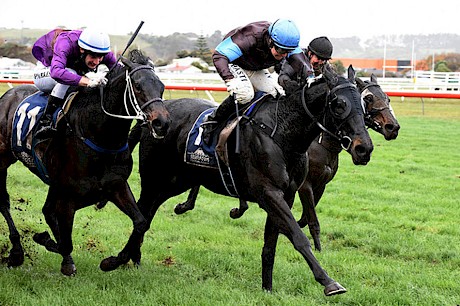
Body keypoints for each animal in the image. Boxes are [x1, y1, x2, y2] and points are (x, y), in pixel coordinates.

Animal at [0, 49, 170, 274]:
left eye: (161, 86)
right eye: (138, 86)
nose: (162, 123)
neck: (100, 136)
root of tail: (7, 96)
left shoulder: (115, 185)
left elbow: (141, 222)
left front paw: (112, 261)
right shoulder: (69, 194)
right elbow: (65, 242)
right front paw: (46, 242)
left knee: (46, 210)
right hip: (3, 160)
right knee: (4, 201)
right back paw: (17, 252)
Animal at [126, 65, 374, 296]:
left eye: (364, 105)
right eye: (339, 104)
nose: (364, 148)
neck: (282, 133)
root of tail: (152, 119)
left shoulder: (286, 195)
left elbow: (271, 244)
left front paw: (267, 289)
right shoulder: (269, 193)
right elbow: (297, 235)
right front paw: (329, 282)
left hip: (174, 182)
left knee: (148, 213)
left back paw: (134, 256)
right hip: (153, 179)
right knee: (142, 211)